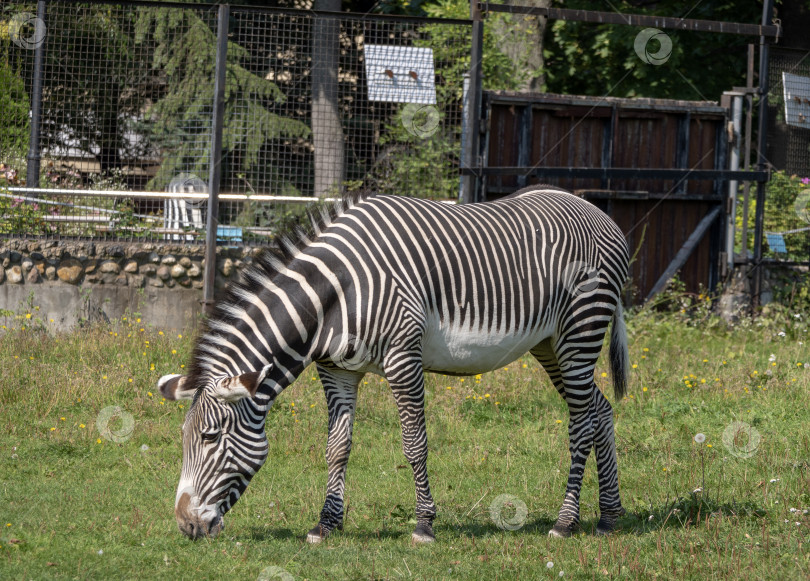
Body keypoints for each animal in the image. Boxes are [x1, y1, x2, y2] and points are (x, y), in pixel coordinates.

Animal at [156, 187, 624, 544]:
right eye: (183, 437)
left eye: (210, 437)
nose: (185, 526)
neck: (332, 296)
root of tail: (598, 211)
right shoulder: (337, 369)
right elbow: (337, 447)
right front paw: (326, 525)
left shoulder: (404, 358)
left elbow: (415, 444)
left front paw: (424, 524)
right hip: (549, 344)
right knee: (600, 410)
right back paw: (609, 516)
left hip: (580, 331)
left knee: (582, 422)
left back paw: (566, 521)